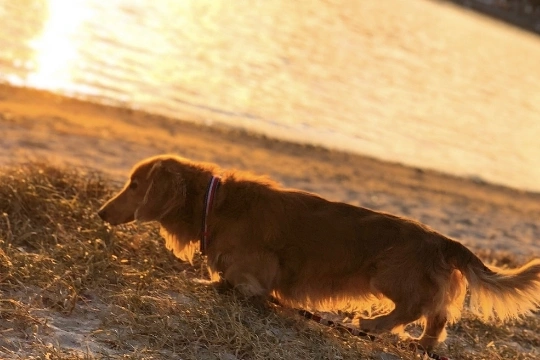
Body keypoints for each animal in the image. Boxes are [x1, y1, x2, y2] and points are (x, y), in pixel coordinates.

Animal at [98, 154, 540, 348]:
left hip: (388, 272)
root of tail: (444, 242)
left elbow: (238, 284)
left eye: (135, 185)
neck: (215, 205)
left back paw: (374, 324)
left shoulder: (256, 273)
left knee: (418, 307)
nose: (100, 213)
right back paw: (422, 345)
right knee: (438, 316)